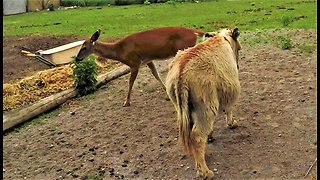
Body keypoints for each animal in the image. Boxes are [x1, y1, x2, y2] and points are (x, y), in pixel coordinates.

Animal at [76, 26, 214, 106]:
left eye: (84, 47)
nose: (77, 59)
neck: (120, 51)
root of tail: (196, 32)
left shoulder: (134, 63)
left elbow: (131, 82)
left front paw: (126, 102)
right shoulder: (148, 60)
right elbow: (156, 74)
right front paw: (166, 94)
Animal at [166, 27, 241, 179]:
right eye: (239, 49)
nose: (238, 66)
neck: (223, 39)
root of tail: (181, 74)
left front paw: (211, 135)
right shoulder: (228, 90)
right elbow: (229, 108)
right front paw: (231, 124)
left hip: (182, 108)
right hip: (205, 106)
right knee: (197, 136)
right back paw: (205, 172)